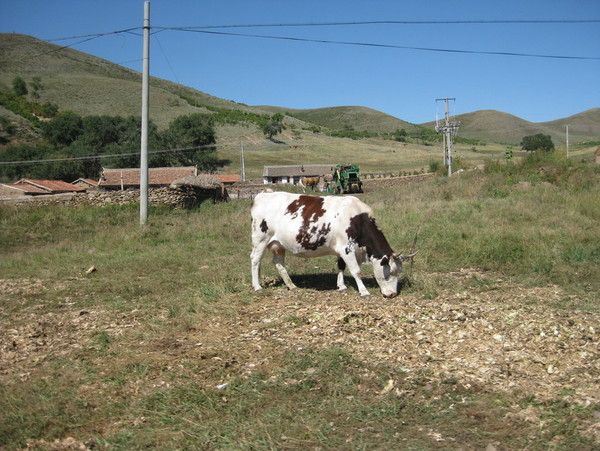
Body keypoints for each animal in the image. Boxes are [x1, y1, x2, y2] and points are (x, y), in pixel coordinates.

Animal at [251, 192, 414, 298]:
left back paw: (291, 285)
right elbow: (356, 271)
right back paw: (257, 286)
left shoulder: (341, 249)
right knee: (255, 260)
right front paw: (364, 291)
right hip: (260, 239)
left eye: (399, 272)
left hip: (278, 244)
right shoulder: (347, 248)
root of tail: (263, 195)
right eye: (390, 272)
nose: (392, 294)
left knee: (278, 263)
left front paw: (341, 286)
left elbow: (341, 266)